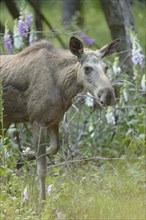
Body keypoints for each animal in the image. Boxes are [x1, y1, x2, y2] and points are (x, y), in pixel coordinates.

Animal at [0, 36, 120, 206]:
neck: (63, 85)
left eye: (106, 67)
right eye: (87, 68)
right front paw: (42, 203)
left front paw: (23, 158)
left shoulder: (54, 121)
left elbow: (54, 148)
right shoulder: (37, 121)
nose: (108, 96)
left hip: (5, 121)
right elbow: (42, 170)